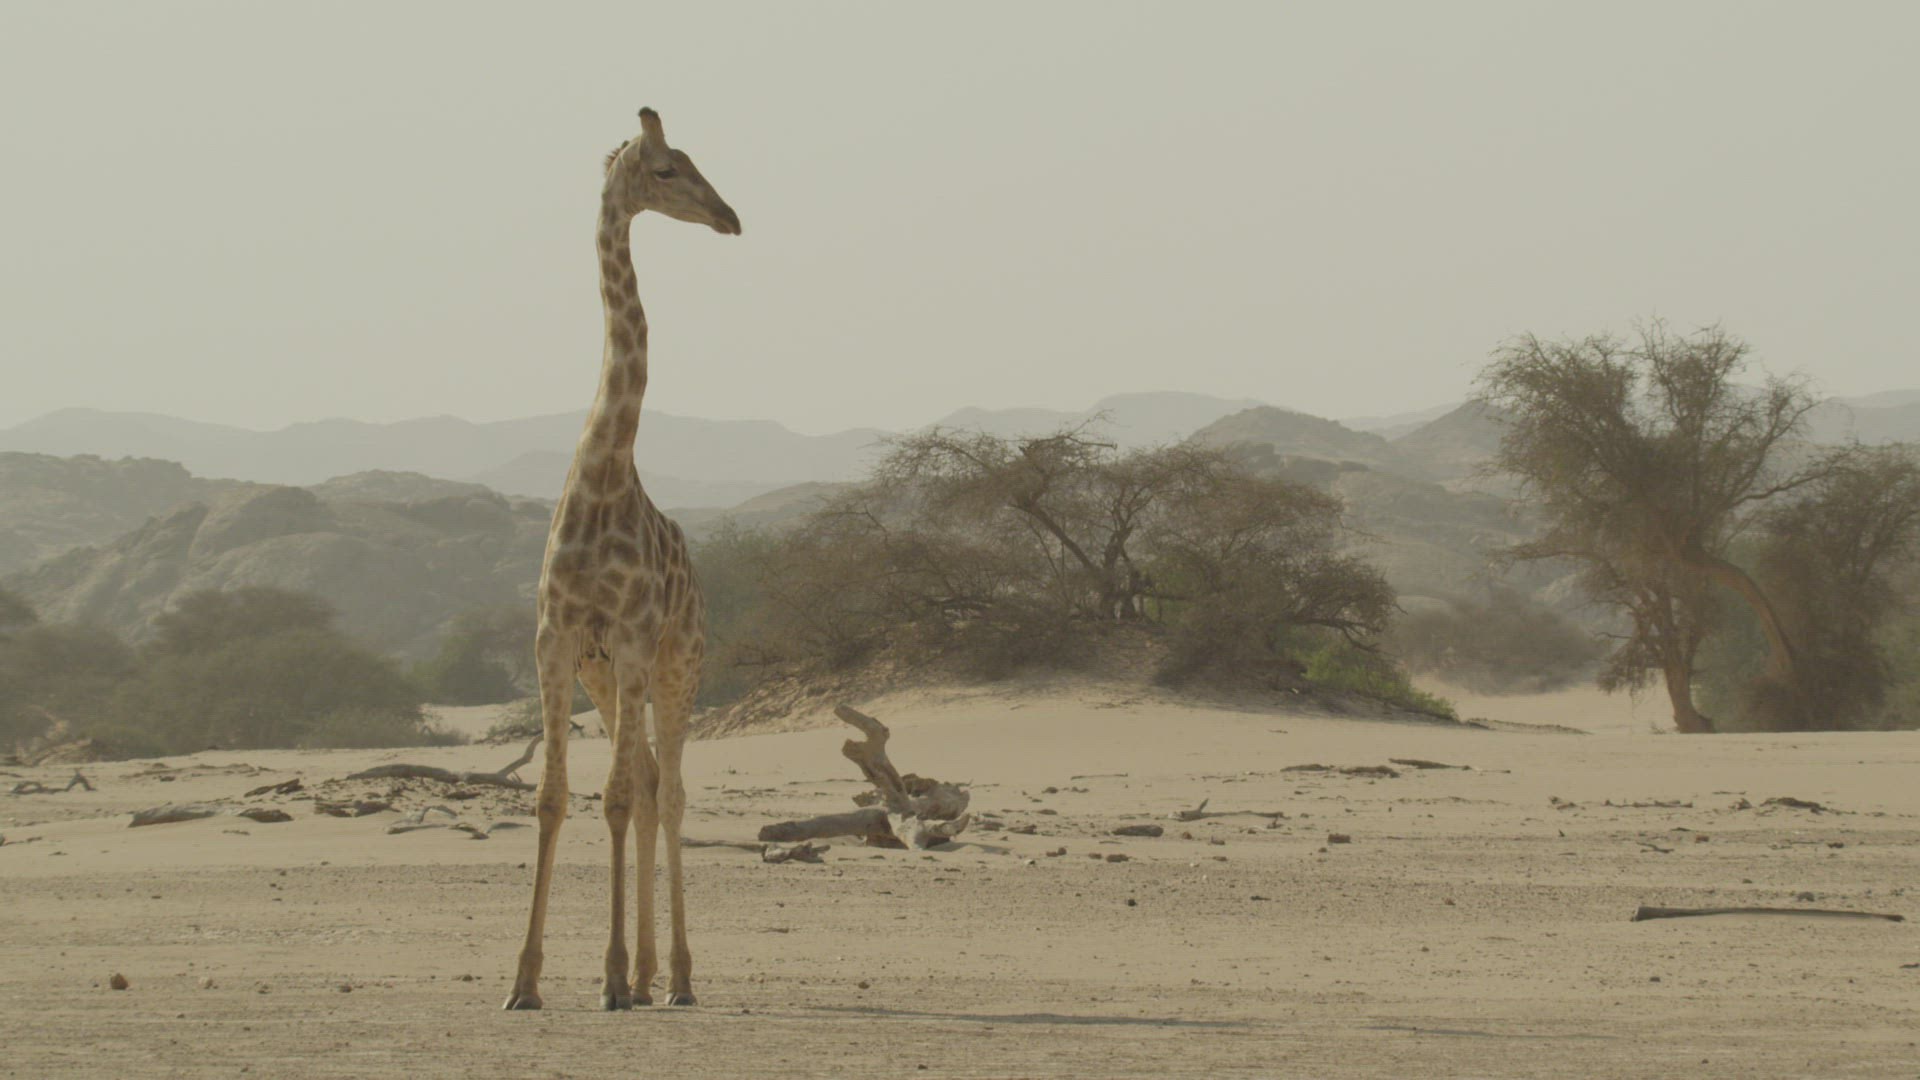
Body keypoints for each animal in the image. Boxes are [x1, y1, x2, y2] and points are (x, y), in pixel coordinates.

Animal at [504, 106, 740, 1012]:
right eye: (669, 169)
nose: (729, 216)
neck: (603, 472)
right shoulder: (559, 640)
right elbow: (552, 797)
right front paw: (525, 981)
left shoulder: (636, 640)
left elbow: (612, 797)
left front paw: (604, 976)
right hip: (610, 680)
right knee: (642, 787)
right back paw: (645, 974)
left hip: (678, 666)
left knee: (665, 793)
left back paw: (673, 977)